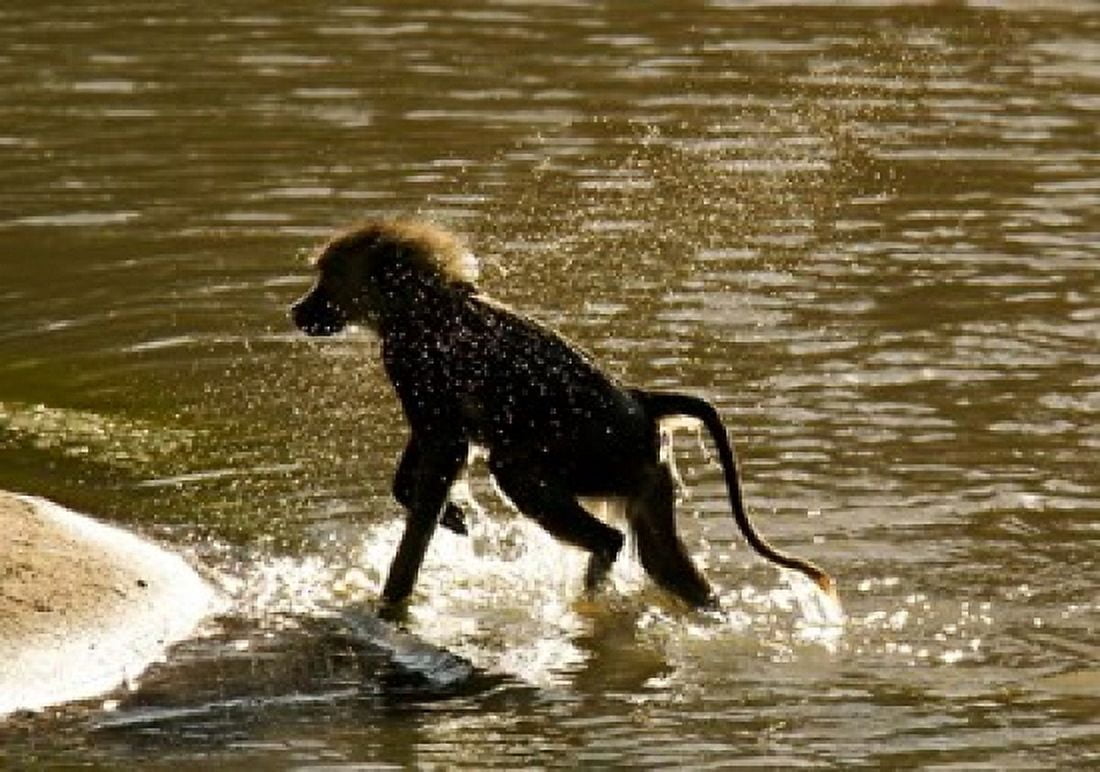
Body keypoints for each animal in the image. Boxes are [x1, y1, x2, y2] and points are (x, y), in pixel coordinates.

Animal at [291, 217, 835, 611]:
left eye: (327, 280)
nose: (298, 311)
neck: (423, 300)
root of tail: (640, 400)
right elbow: (428, 457)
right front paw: (449, 516)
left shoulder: (409, 358)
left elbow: (444, 450)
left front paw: (405, 578)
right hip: (643, 469)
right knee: (665, 560)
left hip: (595, 452)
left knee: (525, 477)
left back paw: (599, 569)